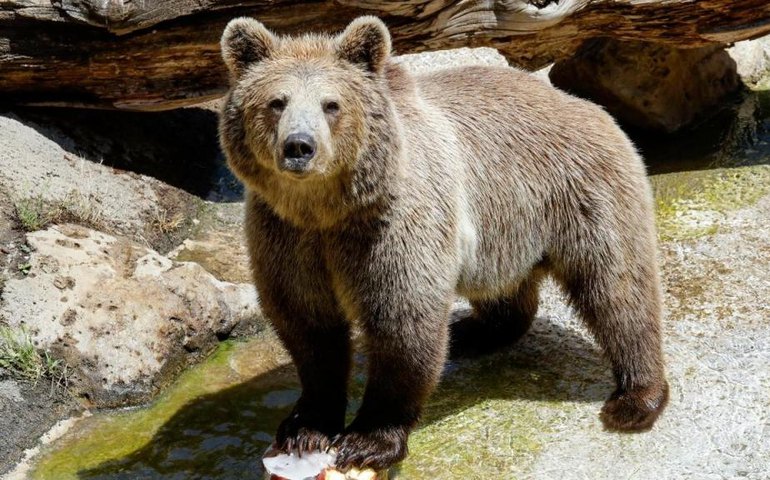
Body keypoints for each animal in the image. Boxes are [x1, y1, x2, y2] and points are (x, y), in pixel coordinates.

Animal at [218, 16, 669, 471]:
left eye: (332, 104)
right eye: (277, 101)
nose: (299, 146)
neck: (327, 210)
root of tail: (583, 105)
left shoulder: (390, 227)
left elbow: (403, 324)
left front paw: (368, 440)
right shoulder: (287, 236)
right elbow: (307, 325)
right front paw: (305, 428)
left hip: (581, 192)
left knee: (617, 289)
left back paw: (636, 398)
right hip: (502, 230)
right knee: (507, 288)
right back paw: (475, 331)